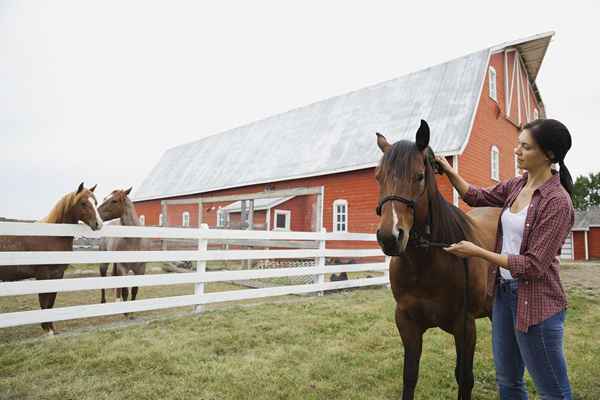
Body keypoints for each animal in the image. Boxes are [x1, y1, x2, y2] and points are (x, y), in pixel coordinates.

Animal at [0, 184, 102, 334]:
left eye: (95, 202)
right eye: (83, 203)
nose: (98, 224)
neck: (52, 236)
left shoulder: (57, 274)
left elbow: (51, 300)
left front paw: (51, 328)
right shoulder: (43, 275)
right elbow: (44, 299)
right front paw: (47, 330)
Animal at [376, 121, 502, 400]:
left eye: (419, 176)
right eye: (378, 177)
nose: (390, 237)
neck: (426, 263)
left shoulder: (465, 327)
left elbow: (464, 379)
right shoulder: (407, 323)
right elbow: (410, 376)